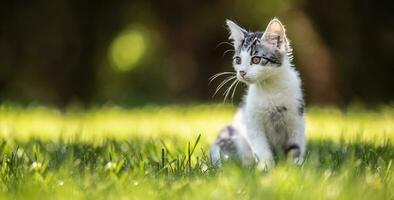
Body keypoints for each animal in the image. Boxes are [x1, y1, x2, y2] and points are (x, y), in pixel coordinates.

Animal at [211, 18, 306, 170]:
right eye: (238, 60)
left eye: (256, 59)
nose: (242, 72)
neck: (270, 87)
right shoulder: (252, 121)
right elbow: (261, 147)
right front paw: (266, 167)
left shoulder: (296, 117)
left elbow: (295, 146)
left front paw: (294, 166)